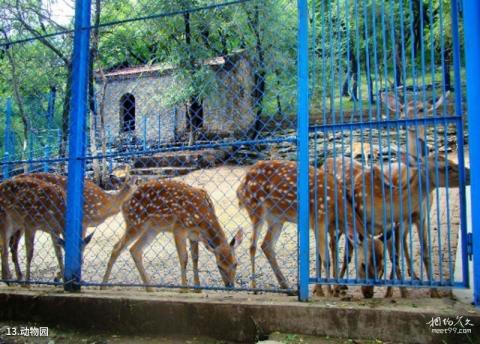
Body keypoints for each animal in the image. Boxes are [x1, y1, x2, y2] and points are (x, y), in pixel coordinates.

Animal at [102, 180, 244, 290]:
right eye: (219, 266)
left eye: (236, 263)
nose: (230, 286)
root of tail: (122, 204)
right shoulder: (178, 228)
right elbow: (184, 258)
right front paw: (184, 289)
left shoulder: (194, 235)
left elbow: (195, 258)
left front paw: (197, 289)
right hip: (135, 221)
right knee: (117, 247)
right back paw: (103, 286)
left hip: (152, 228)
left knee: (135, 249)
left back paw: (150, 289)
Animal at [236, 160, 382, 296]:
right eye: (364, 265)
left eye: (381, 269)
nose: (369, 293)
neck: (337, 209)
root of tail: (240, 187)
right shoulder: (319, 219)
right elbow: (326, 259)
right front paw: (329, 292)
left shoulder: (327, 227)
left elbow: (330, 256)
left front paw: (329, 290)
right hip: (256, 207)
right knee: (252, 245)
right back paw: (254, 287)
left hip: (277, 218)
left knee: (266, 245)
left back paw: (287, 287)